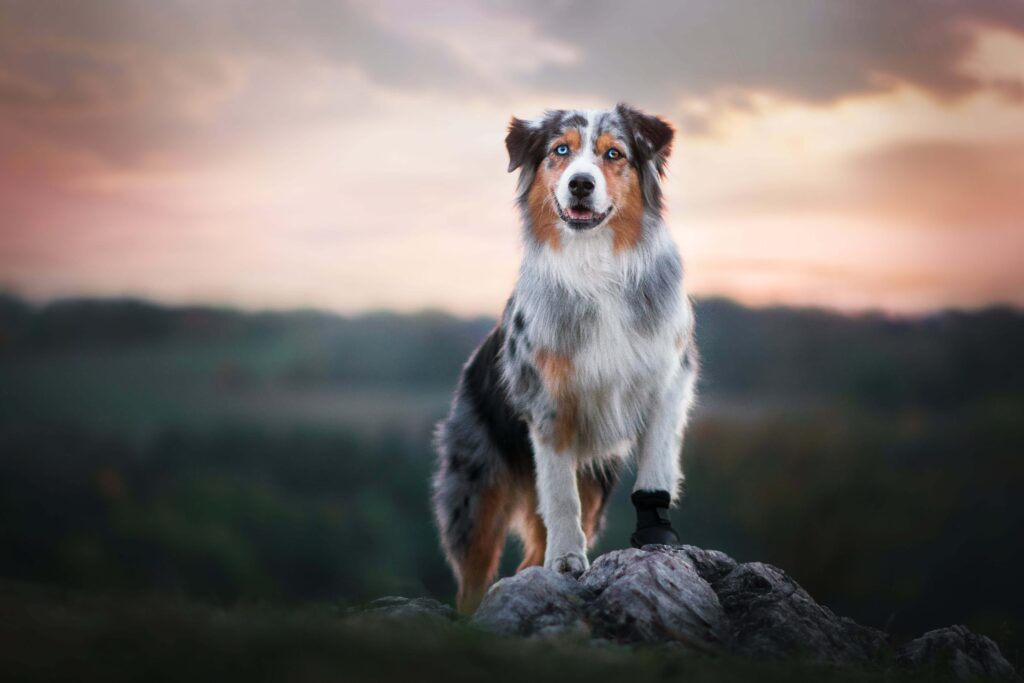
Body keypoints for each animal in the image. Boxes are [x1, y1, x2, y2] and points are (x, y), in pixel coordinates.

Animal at [432, 104, 696, 610]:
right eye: (560, 150)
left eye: (614, 154)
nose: (580, 184)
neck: (598, 266)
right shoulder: (548, 404)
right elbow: (559, 496)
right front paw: (567, 561)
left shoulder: (667, 384)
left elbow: (654, 472)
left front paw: (657, 540)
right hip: (477, 488)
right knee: (473, 575)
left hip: (593, 482)